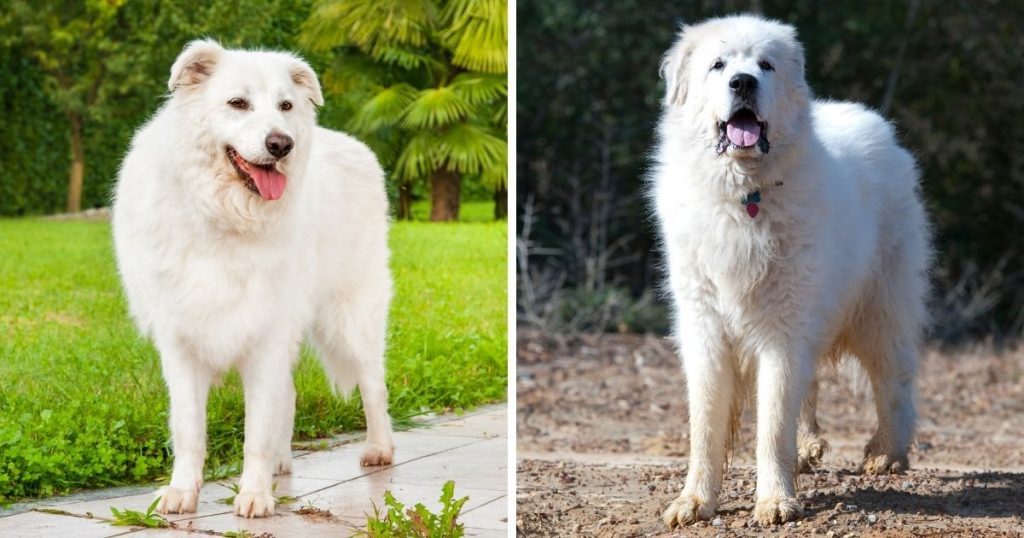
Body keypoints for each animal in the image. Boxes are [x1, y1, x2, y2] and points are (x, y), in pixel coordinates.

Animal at [112, 39, 391, 518]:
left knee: (373, 383)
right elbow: (189, 429)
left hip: (350, 318)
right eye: (237, 103)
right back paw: (282, 463)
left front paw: (255, 495)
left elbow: (256, 430)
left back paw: (379, 449)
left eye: (286, 105)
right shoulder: (181, 341)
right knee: (291, 393)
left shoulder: (267, 334)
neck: (223, 216)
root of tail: (355, 146)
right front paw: (182, 492)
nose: (282, 144)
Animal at [651, 15, 933, 524]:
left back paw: (887, 453)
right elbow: (705, 423)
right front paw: (695, 500)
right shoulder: (705, 327)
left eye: (766, 65)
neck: (745, 196)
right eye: (718, 65)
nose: (743, 82)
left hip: (880, 308)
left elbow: (772, 421)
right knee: (814, 381)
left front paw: (775, 500)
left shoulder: (783, 329)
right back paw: (808, 448)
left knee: (893, 382)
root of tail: (877, 124)